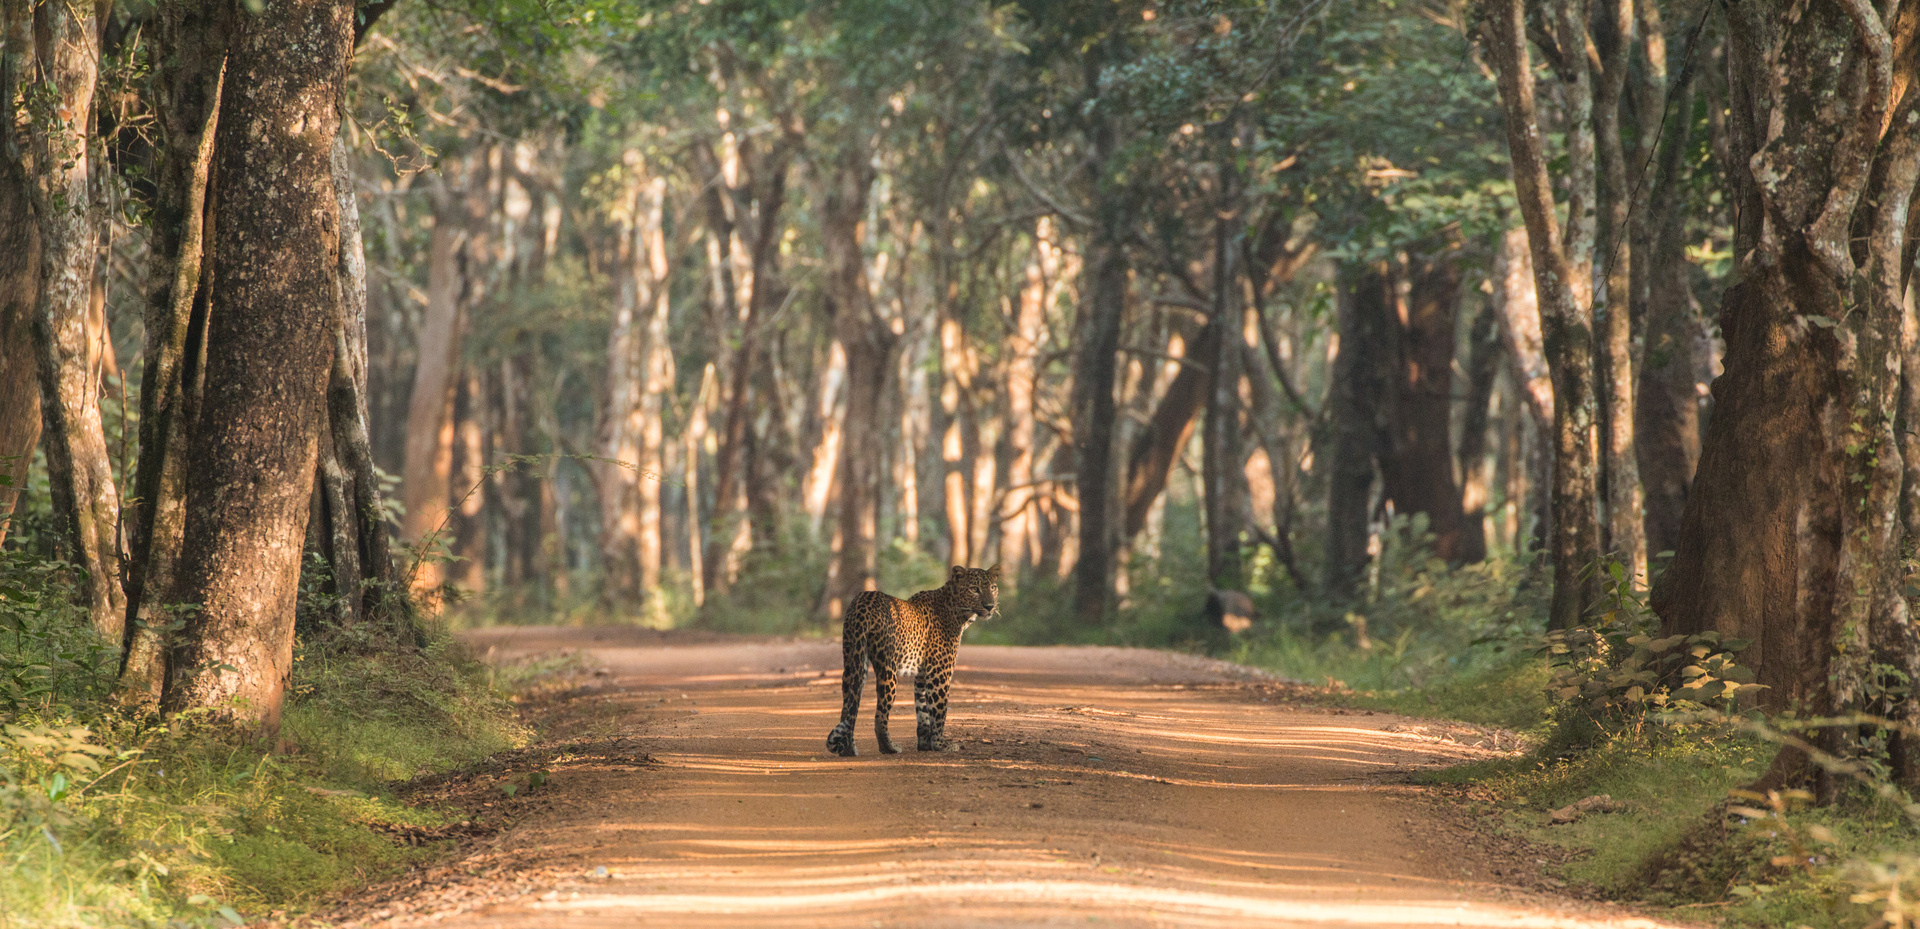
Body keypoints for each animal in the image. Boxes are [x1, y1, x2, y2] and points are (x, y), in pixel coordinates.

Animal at [825, 564, 1006, 760]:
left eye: (993, 588)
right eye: (974, 589)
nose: (989, 606)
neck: (957, 610)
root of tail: (862, 601)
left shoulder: (922, 674)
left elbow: (923, 711)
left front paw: (925, 744)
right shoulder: (939, 672)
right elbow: (939, 710)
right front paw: (940, 744)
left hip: (852, 659)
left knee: (849, 707)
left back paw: (847, 749)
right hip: (887, 668)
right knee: (880, 714)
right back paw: (889, 747)